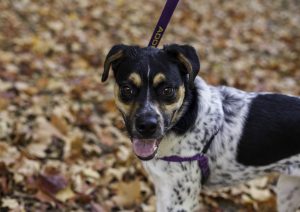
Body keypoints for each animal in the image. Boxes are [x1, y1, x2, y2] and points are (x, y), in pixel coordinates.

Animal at [102, 44, 300, 211]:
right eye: (127, 89)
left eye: (167, 90)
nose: (147, 126)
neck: (184, 121)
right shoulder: (164, 189)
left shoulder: (181, 200)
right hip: (287, 191)